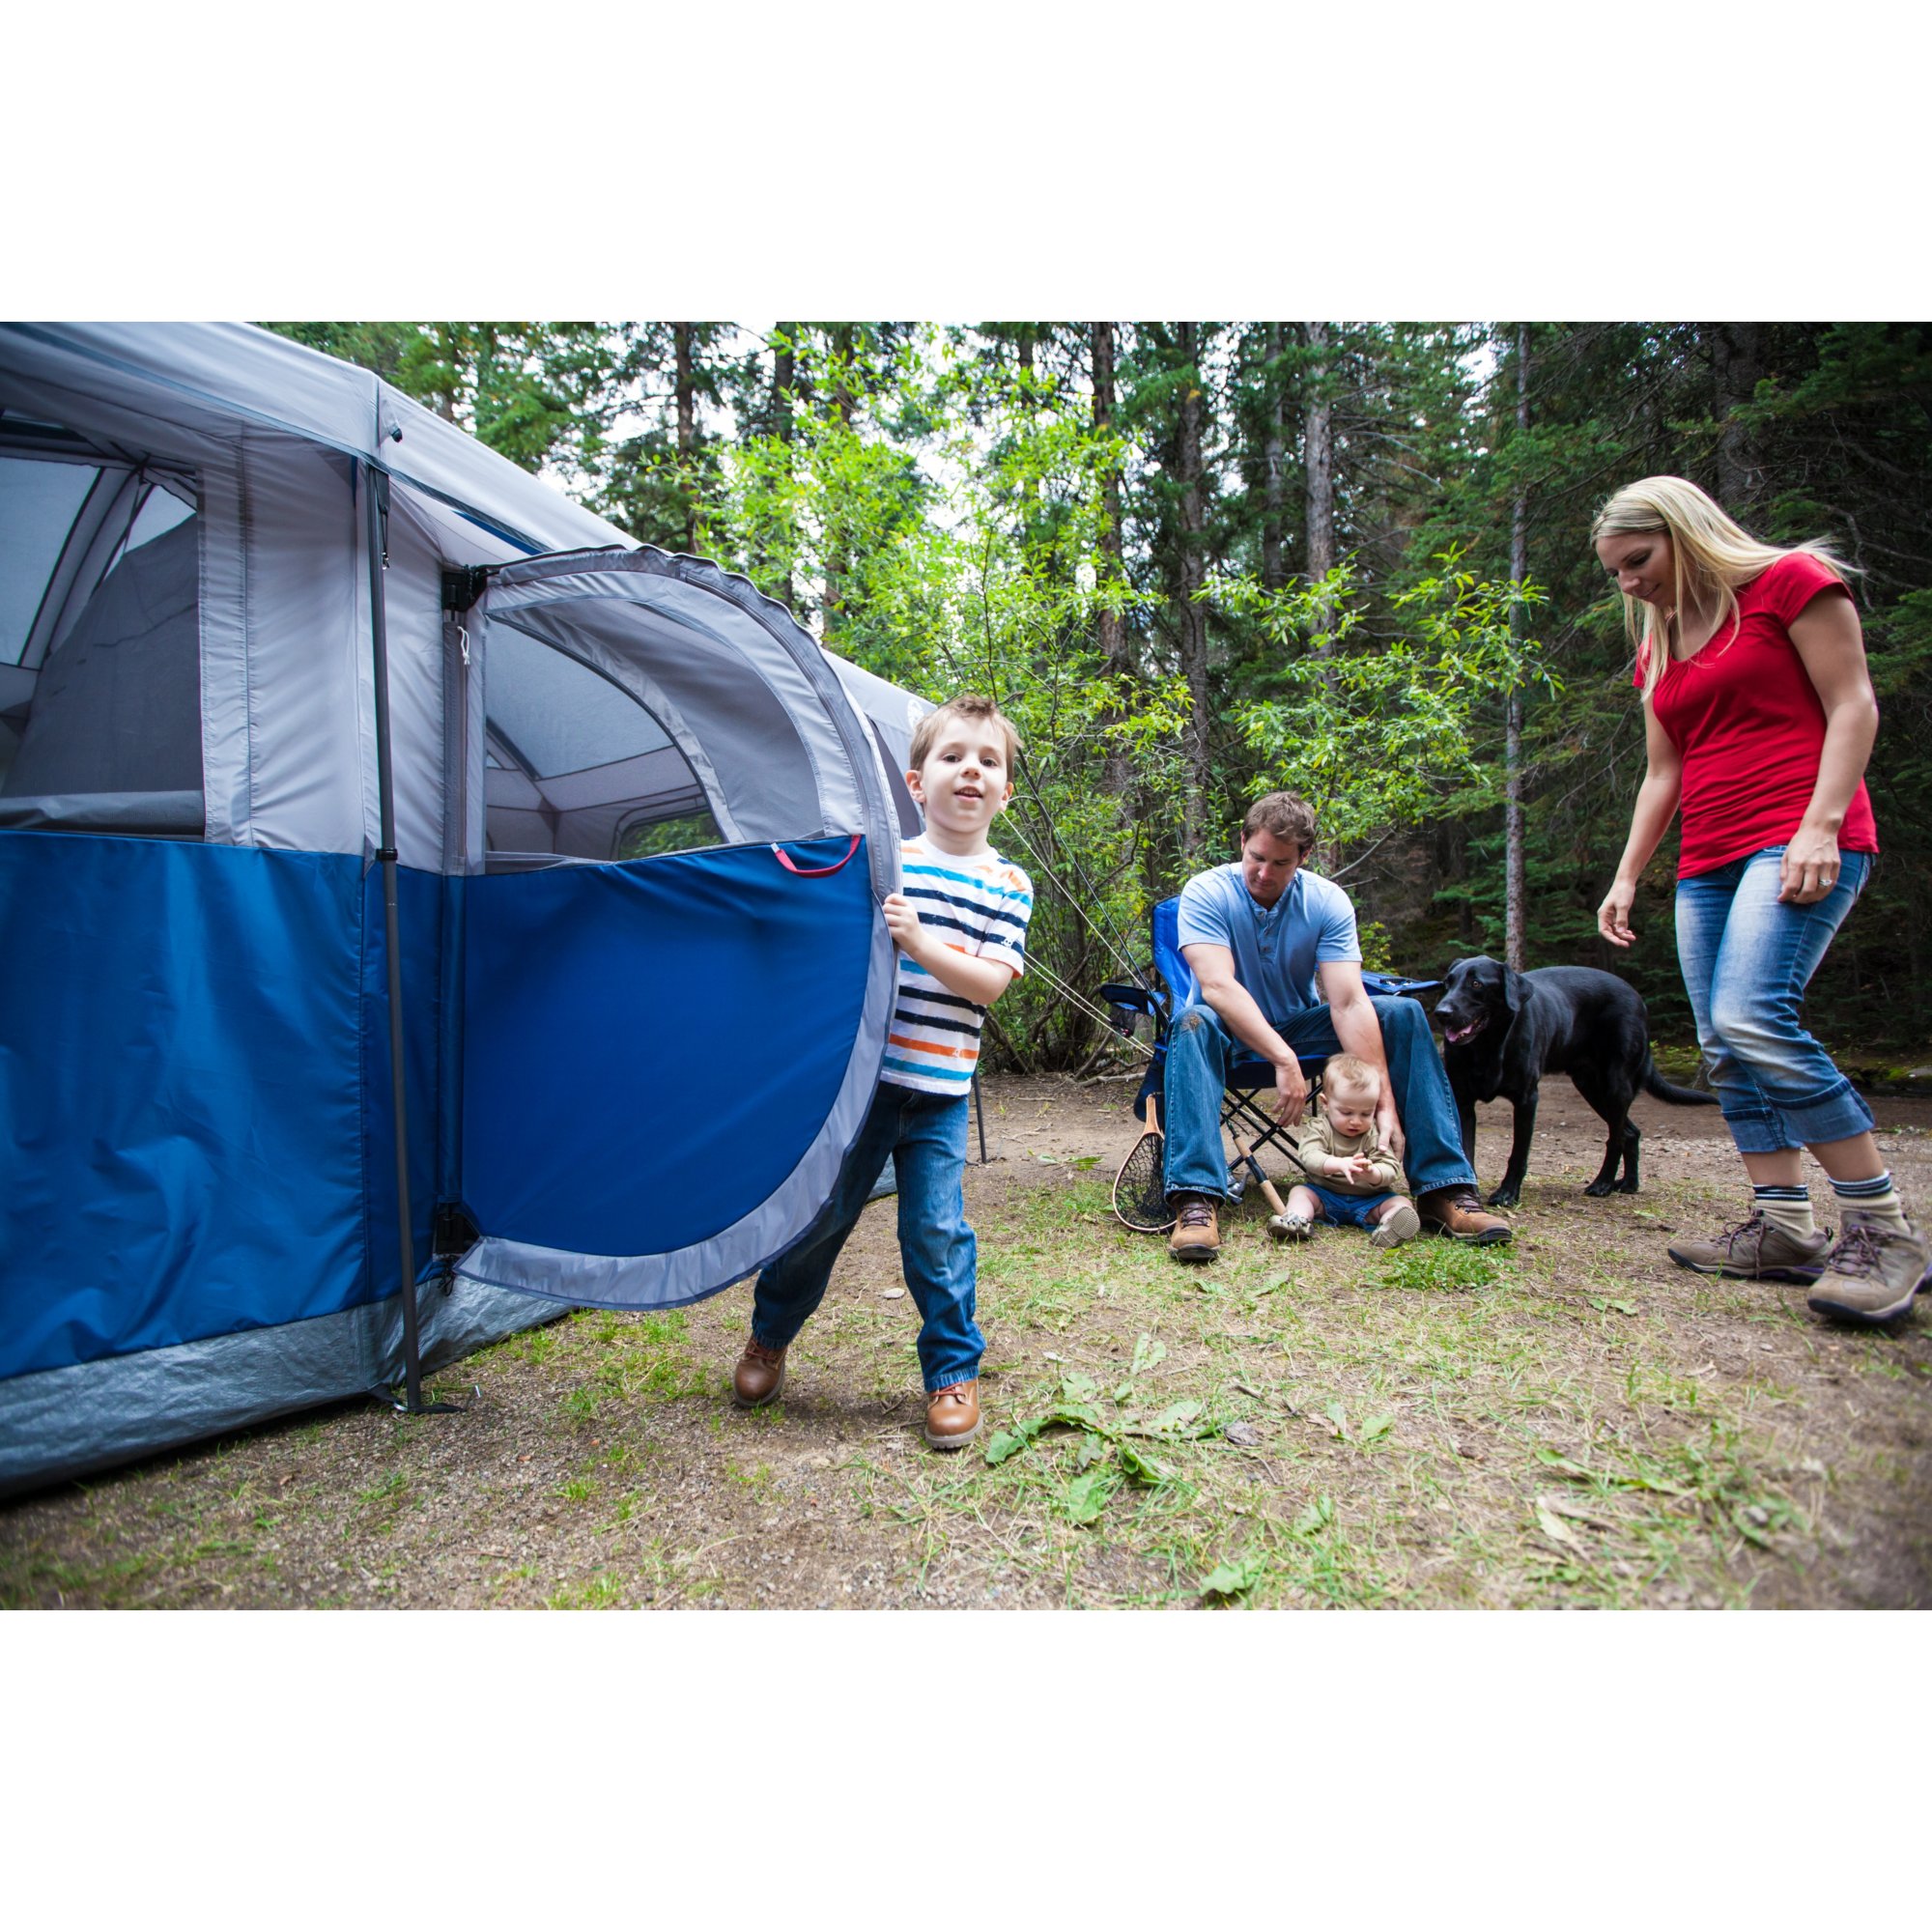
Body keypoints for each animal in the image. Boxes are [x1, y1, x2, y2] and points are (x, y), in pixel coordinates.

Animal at [1430, 954, 1716, 1206]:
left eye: (1476, 984)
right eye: (1447, 982)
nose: (1441, 1012)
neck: (1487, 1046)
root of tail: (1638, 998)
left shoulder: (1526, 1099)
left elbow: (1518, 1153)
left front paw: (1507, 1193)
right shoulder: (1463, 1100)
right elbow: (1466, 1150)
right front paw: (1467, 1191)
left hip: (1616, 1086)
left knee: (1616, 1138)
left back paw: (1603, 1184)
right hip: (1590, 1086)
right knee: (1630, 1132)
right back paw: (1629, 1184)